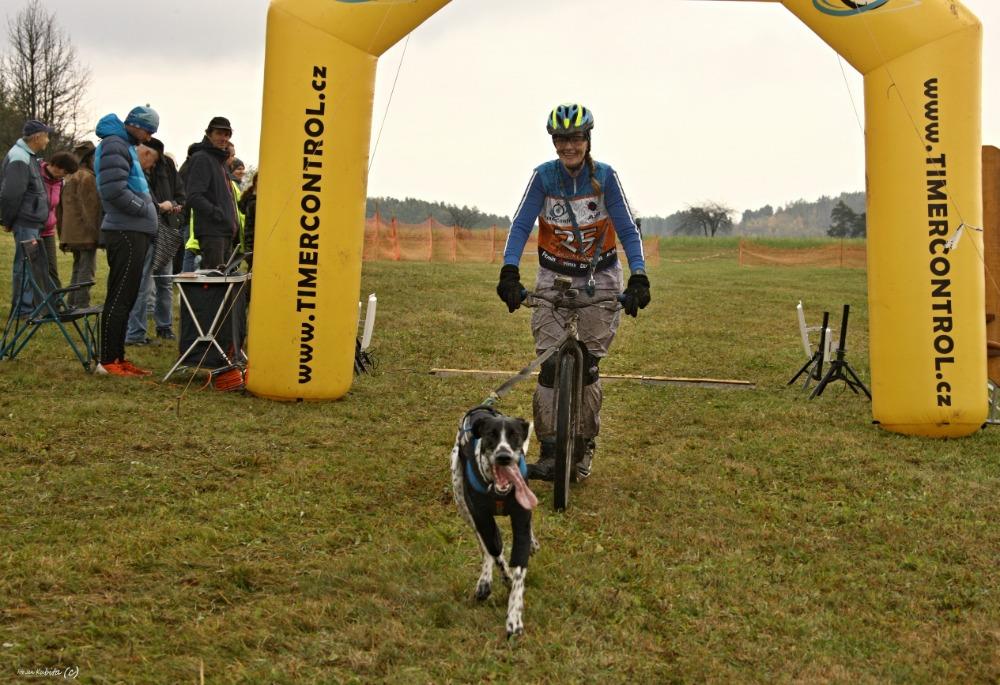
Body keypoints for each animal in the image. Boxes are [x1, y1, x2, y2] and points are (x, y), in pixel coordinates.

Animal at [450, 405, 539, 638]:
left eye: (515, 435)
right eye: (491, 435)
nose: (503, 456)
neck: (500, 493)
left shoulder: (521, 521)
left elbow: (518, 571)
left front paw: (514, 617)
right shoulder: (482, 519)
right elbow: (494, 550)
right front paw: (499, 577)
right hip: (463, 505)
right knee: (485, 546)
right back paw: (485, 581)